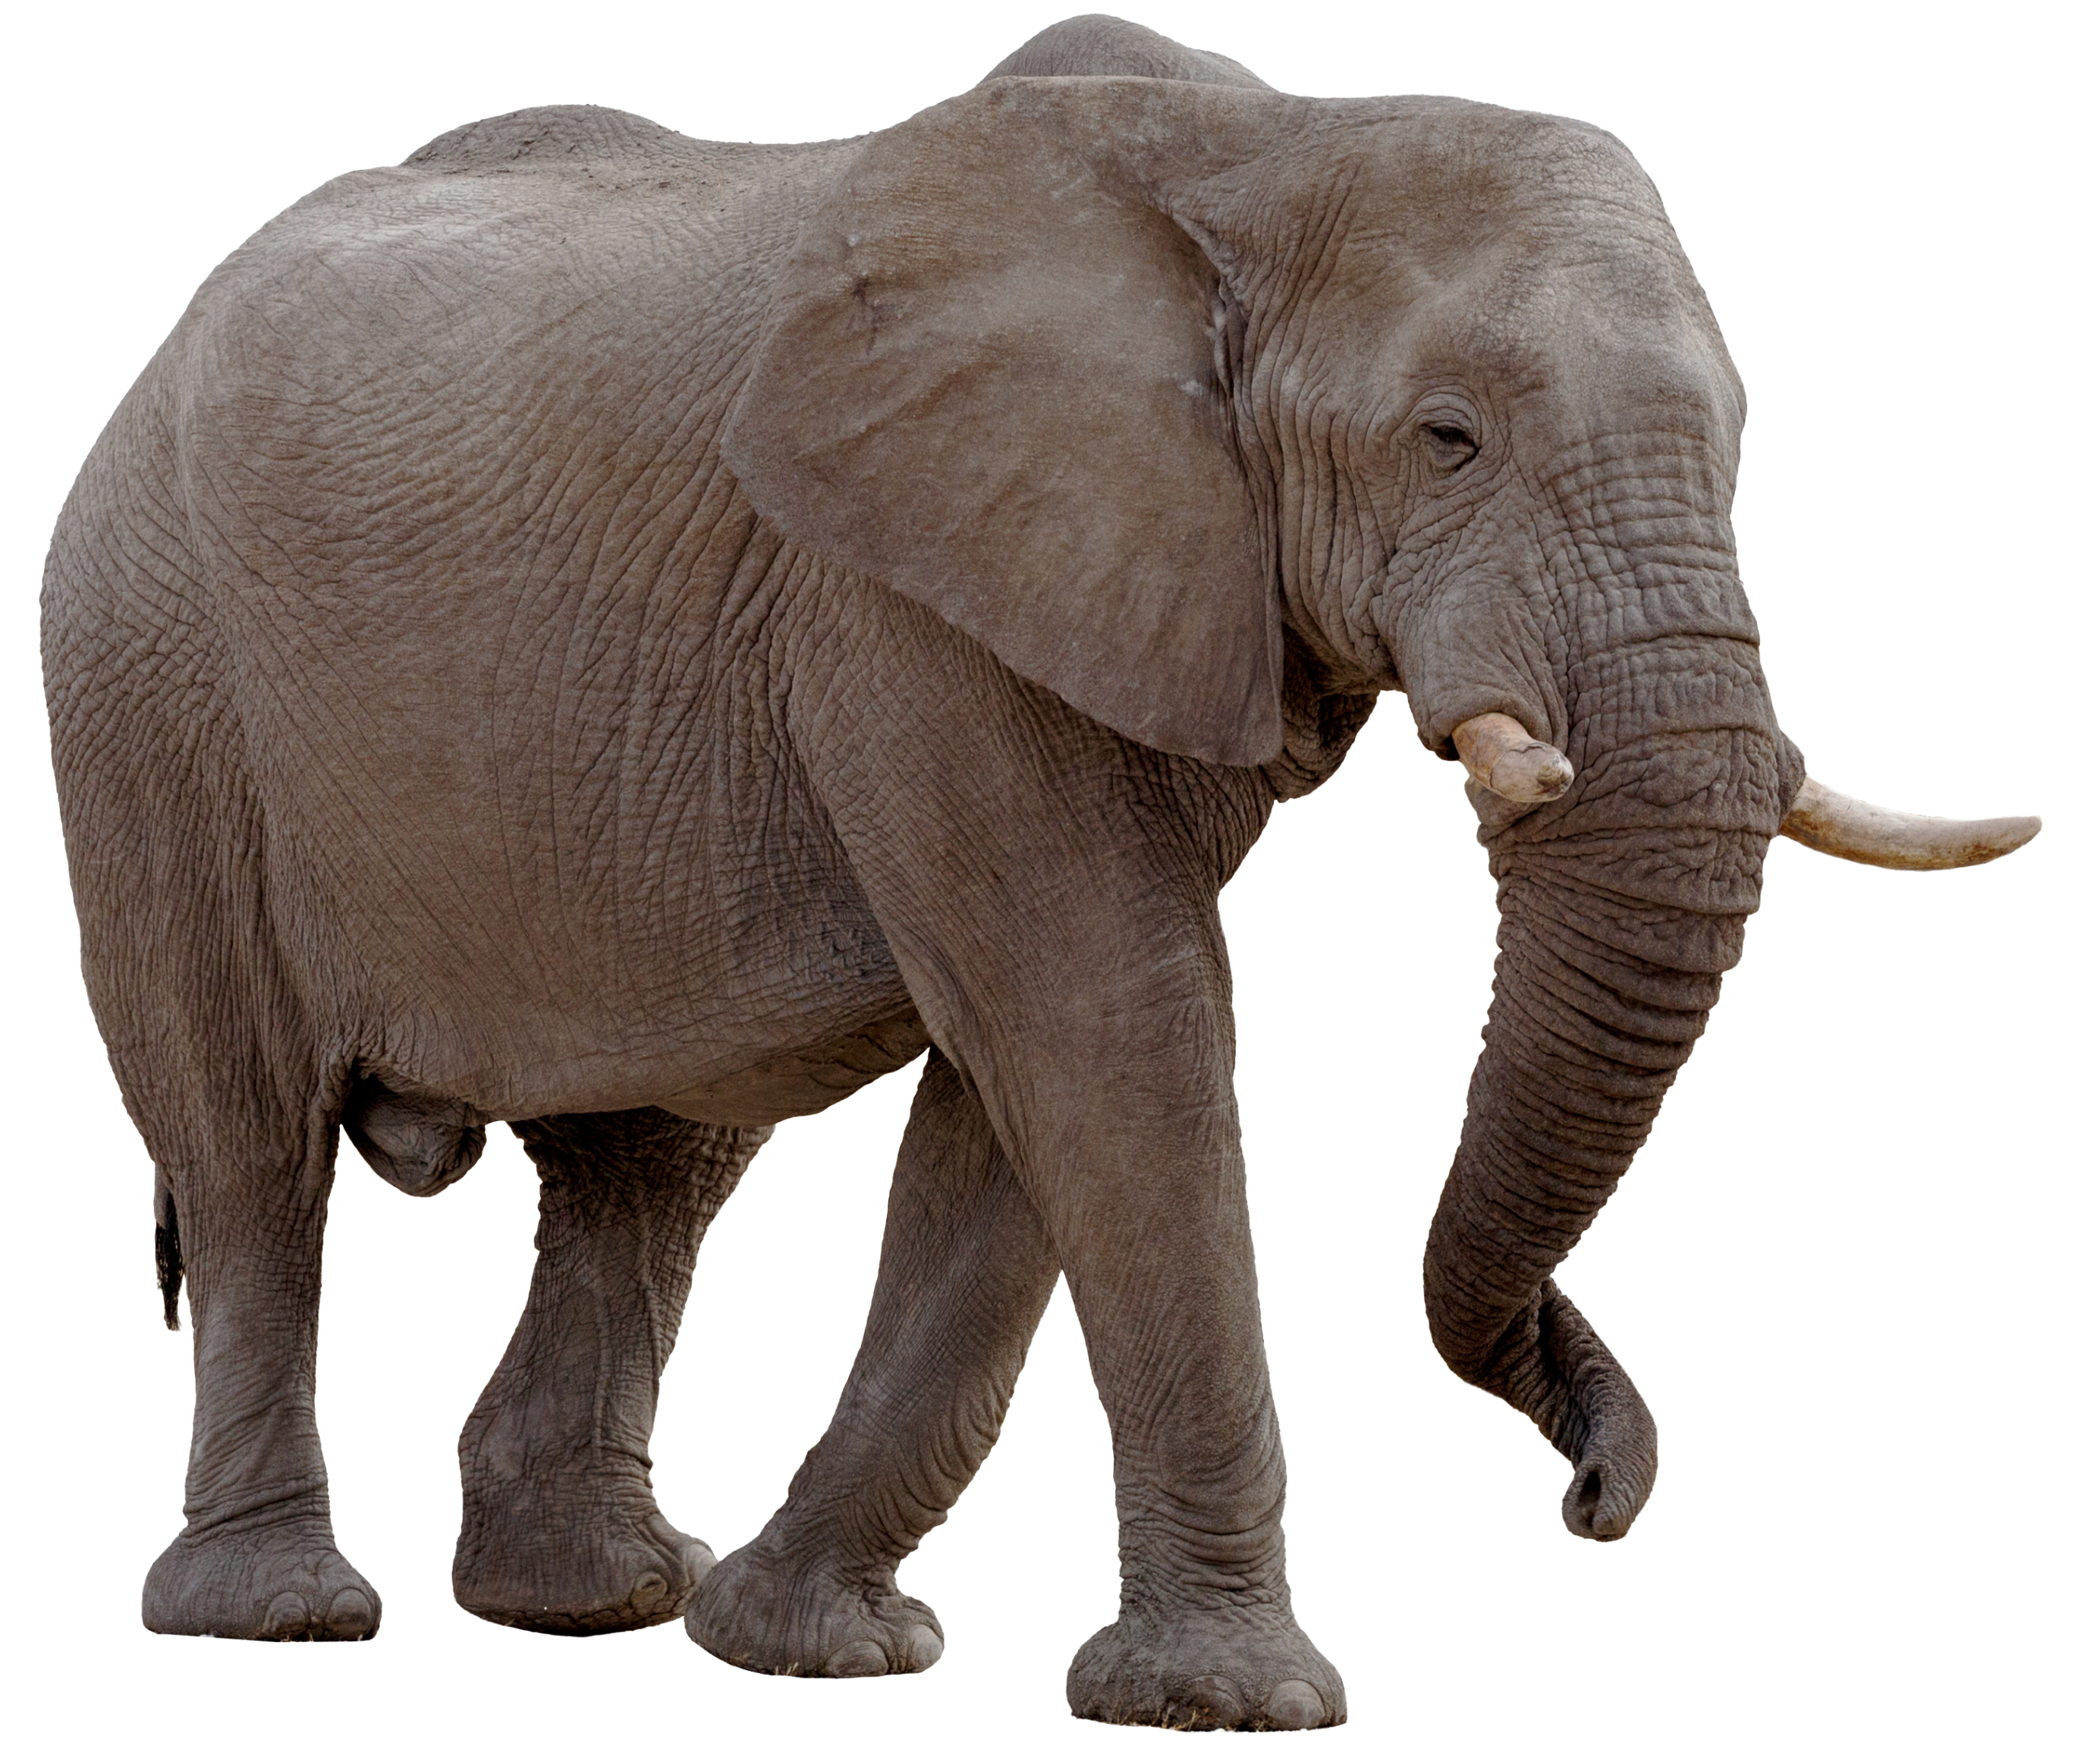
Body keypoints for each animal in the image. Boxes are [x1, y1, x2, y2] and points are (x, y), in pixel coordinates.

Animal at [39, 10, 2039, 1730]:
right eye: (1446, 437)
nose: (1599, 1496)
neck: (1271, 148)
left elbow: (1023, 1094)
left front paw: (814, 1646)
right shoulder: (907, 605)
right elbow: (1108, 1022)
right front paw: (1233, 1704)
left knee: (651, 1169)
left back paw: (597, 1596)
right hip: (144, 677)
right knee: (249, 1142)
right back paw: (280, 1611)